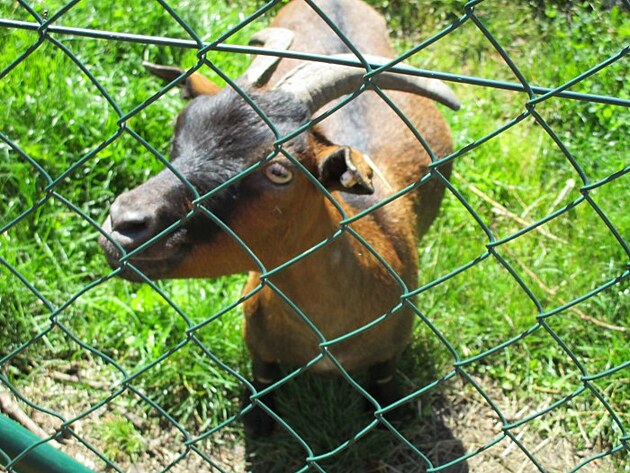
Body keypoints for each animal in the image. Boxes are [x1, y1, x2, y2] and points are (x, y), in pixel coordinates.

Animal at [99, 0, 460, 436]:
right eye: (179, 128)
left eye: (279, 171)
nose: (124, 222)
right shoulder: (258, 346)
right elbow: (262, 383)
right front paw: (259, 421)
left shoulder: (392, 350)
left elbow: (385, 386)